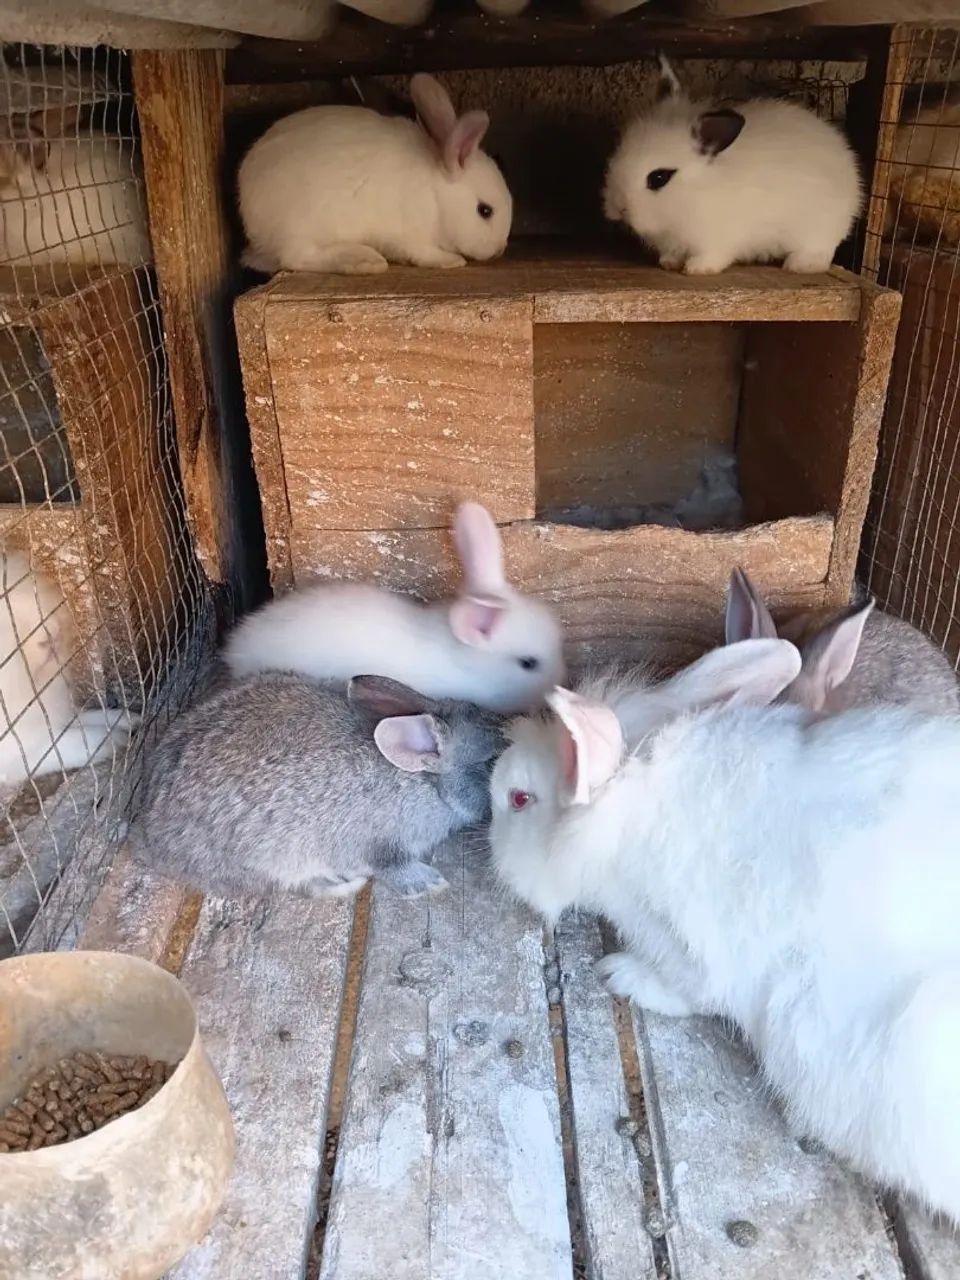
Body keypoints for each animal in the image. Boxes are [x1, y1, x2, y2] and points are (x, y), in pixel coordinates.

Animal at [0, 550, 136, 797]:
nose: (50, 633)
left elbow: (86, 717)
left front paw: (129, 719)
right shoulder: (24, 750)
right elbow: (73, 743)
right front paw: (115, 740)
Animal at [128, 671, 503, 900]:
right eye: (490, 763)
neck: (425, 783)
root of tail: (151, 836)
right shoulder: (380, 844)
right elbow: (392, 867)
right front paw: (429, 882)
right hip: (272, 860)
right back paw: (345, 885)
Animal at [237, 72, 512, 275]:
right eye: (485, 211)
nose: (500, 249)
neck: (435, 194)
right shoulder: (411, 235)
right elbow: (424, 253)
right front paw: (451, 261)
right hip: (306, 225)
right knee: (296, 258)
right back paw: (362, 261)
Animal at [490, 639, 960, 1224]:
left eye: (519, 800)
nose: (487, 813)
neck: (629, 816)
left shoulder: (695, 946)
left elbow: (689, 990)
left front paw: (621, 976)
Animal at [603, 56, 862, 275]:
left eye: (659, 178)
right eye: (617, 152)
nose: (618, 208)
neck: (694, 193)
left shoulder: (718, 239)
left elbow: (713, 256)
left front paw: (696, 269)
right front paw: (669, 263)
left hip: (819, 230)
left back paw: (798, 265)